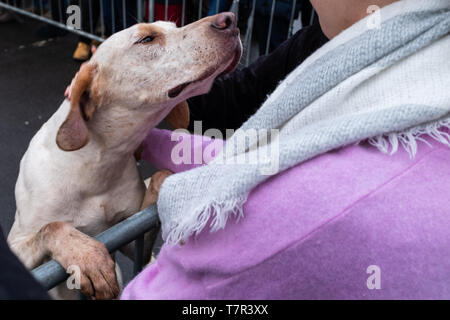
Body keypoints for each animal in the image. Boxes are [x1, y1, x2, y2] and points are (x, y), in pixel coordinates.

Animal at [7, 11, 241, 298]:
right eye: (147, 39)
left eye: (173, 27)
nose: (230, 19)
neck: (99, 162)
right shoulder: (17, 244)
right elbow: (51, 227)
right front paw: (86, 255)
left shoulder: (130, 233)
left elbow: (160, 178)